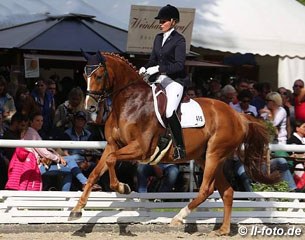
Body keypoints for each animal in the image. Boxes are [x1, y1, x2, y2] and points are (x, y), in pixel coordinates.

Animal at [68, 51, 278, 236]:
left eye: (99, 75)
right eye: (84, 75)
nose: (90, 107)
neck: (129, 103)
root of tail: (238, 116)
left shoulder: (141, 148)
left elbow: (111, 160)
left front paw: (122, 187)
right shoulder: (113, 145)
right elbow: (95, 173)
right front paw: (77, 210)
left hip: (214, 154)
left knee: (206, 189)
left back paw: (178, 217)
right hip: (206, 157)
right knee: (227, 191)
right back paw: (223, 230)